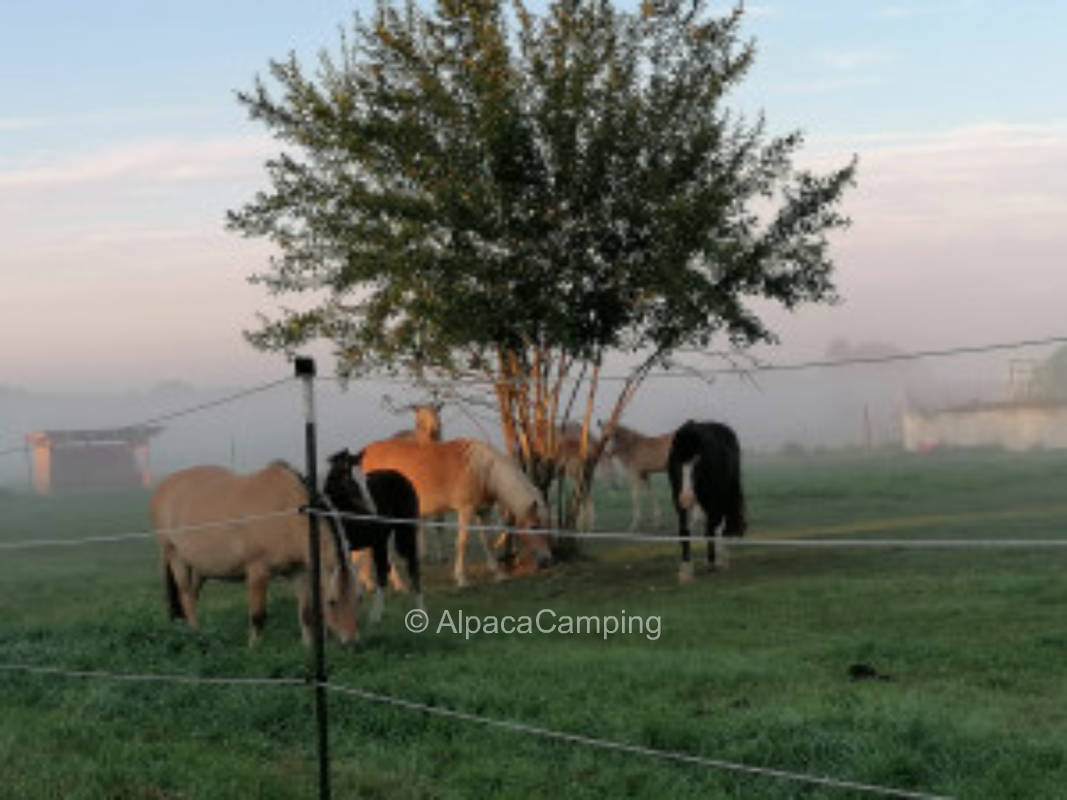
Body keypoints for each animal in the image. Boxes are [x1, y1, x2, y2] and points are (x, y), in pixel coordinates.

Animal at [149, 460, 362, 648]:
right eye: (332, 601)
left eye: (358, 598)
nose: (351, 642)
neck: (286, 512)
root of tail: (164, 487)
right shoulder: (258, 571)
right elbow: (258, 615)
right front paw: (253, 647)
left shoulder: (299, 572)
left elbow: (306, 613)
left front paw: (307, 646)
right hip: (176, 558)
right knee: (185, 595)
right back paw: (196, 633)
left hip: (200, 569)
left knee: (192, 596)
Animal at [322, 448, 422, 622]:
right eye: (348, 479)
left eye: (364, 479)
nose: (372, 512)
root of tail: (403, 478)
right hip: (380, 541)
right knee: (384, 569)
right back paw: (377, 614)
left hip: (405, 533)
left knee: (410, 567)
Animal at [360, 439, 554, 588]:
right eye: (534, 527)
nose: (547, 561)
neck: (482, 471)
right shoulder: (465, 510)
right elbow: (462, 542)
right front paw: (461, 579)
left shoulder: (483, 511)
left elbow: (487, 541)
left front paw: (499, 574)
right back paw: (398, 584)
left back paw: (369, 583)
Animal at [661, 422, 746, 584]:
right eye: (676, 462)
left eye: (698, 460)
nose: (686, 498)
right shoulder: (678, 500)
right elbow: (684, 531)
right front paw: (686, 570)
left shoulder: (713, 501)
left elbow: (710, 530)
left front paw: (711, 563)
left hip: (724, 497)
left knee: (719, 526)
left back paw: (722, 559)